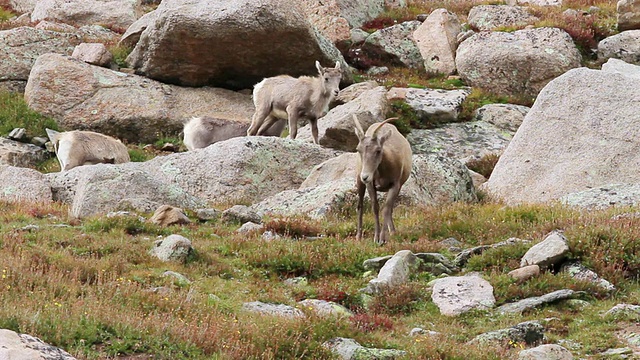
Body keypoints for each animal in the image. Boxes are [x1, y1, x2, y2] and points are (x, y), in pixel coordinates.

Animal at [352, 114, 412, 245]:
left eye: (378, 150)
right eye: (358, 149)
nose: (365, 176)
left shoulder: (395, 185)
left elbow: (386, 209)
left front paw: (383, 239)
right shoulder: (371, 185)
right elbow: (375, 208)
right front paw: (376, 238)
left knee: (389, 209)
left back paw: (392, 232)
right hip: (359, 183)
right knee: (360, 205)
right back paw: (358, 236)